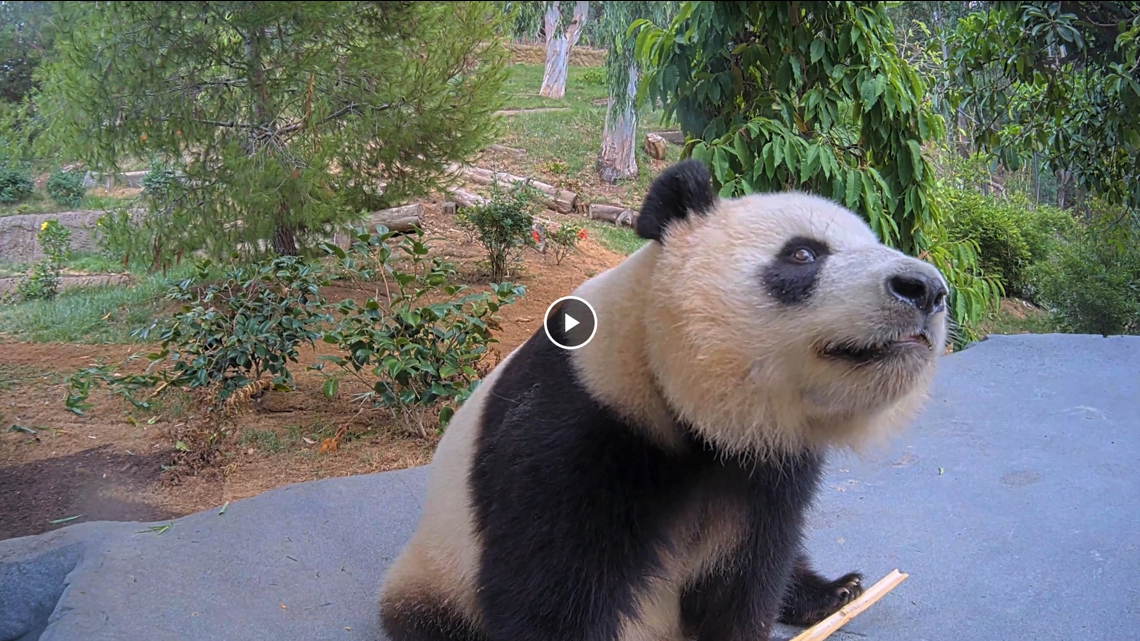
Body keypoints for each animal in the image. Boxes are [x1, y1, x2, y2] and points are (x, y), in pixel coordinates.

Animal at [377, 159, 948, 641]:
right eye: (803, 253)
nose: (926, 289)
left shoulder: (767, 469)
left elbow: (750, 572)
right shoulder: (574, 429)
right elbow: (549, 593)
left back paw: (835, 590)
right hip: (442, 571)